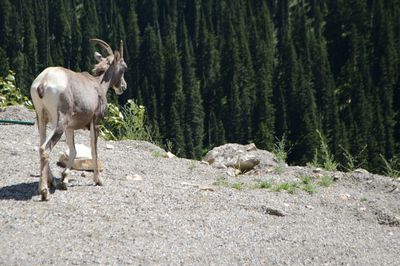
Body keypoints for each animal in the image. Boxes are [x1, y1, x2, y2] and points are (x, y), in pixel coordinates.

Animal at [31, 39, 128, 201]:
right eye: (124, 67)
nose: (123, 87)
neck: (98, 85)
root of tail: (43, 82)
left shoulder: (70, 128)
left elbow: (74, 151)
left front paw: (64, 180)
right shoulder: (95, 123)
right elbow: (94, 150)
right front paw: (98, 180)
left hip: (41, 119)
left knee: (41, 145)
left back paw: (50, 183)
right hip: (60, 124)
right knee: (45, 148)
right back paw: (44, 192)